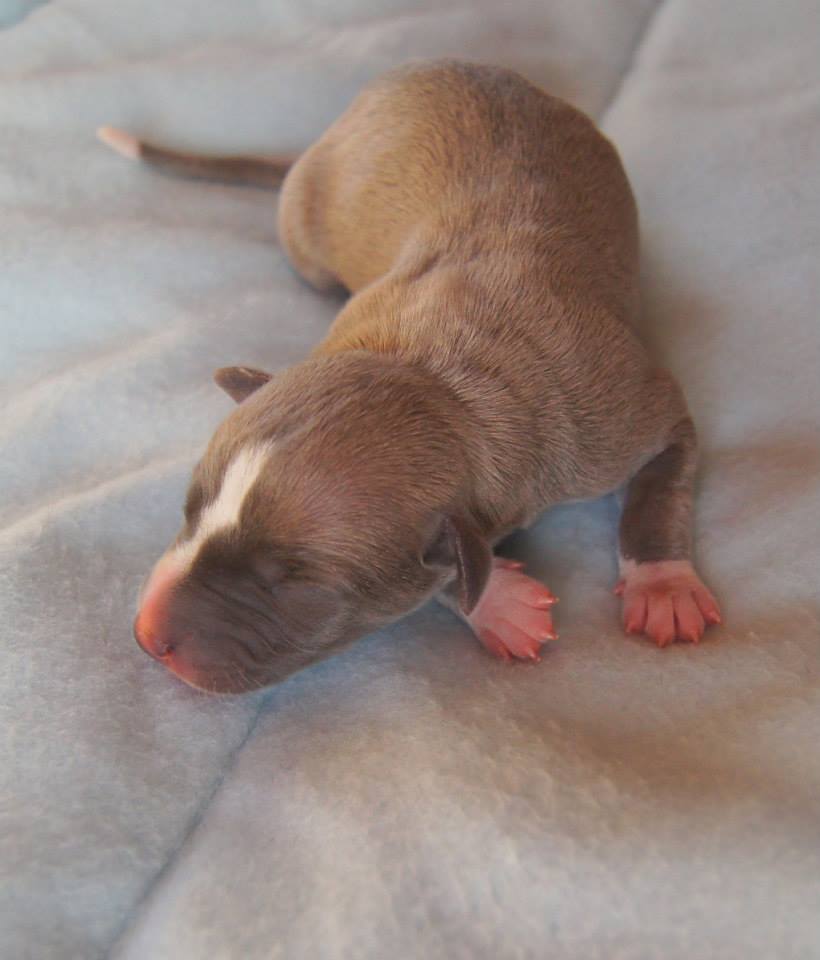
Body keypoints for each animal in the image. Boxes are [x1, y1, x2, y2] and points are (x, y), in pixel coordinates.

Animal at [99, 59, 721, 693]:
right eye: (189, 508)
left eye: (300, 587)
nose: (146, 636)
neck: (437, 374)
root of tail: (326, 136)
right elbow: (448, 574)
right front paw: (502, 602)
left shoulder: (621, 410)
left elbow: (662, 476)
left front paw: (664, 585)